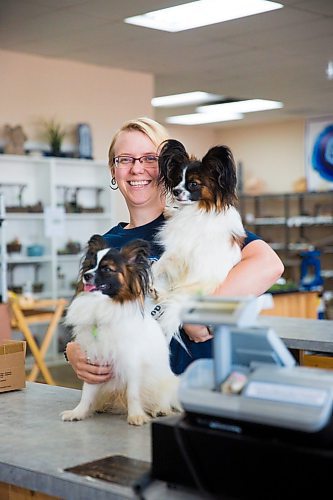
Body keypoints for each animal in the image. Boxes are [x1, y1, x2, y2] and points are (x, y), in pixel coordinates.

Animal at [59, 234, 179, 426]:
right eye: (90, 265)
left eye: (107, 269)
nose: (86, 276)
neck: (102, 305)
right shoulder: (95, 360)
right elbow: (87, 392)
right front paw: (78, 412)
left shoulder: (132, 363)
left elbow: (133, 393)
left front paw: (136, 416)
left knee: (163, 397)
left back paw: (160, 409)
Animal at [152, 139, 245, 344]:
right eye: (177, 180)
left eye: (193, 184)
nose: (176, 191)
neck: (200, 207)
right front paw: (170, 210)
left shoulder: (178, 250)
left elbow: (157, 265)